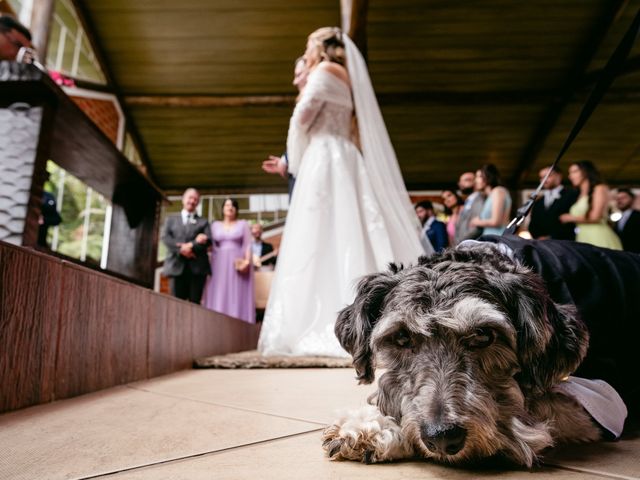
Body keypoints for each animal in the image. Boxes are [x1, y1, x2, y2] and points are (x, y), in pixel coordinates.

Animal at [324, 240, 636, 468]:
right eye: (401, 337)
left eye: (484, 335)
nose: (441, 438)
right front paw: (370, 426)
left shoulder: (601, 399)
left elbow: (536, 404)